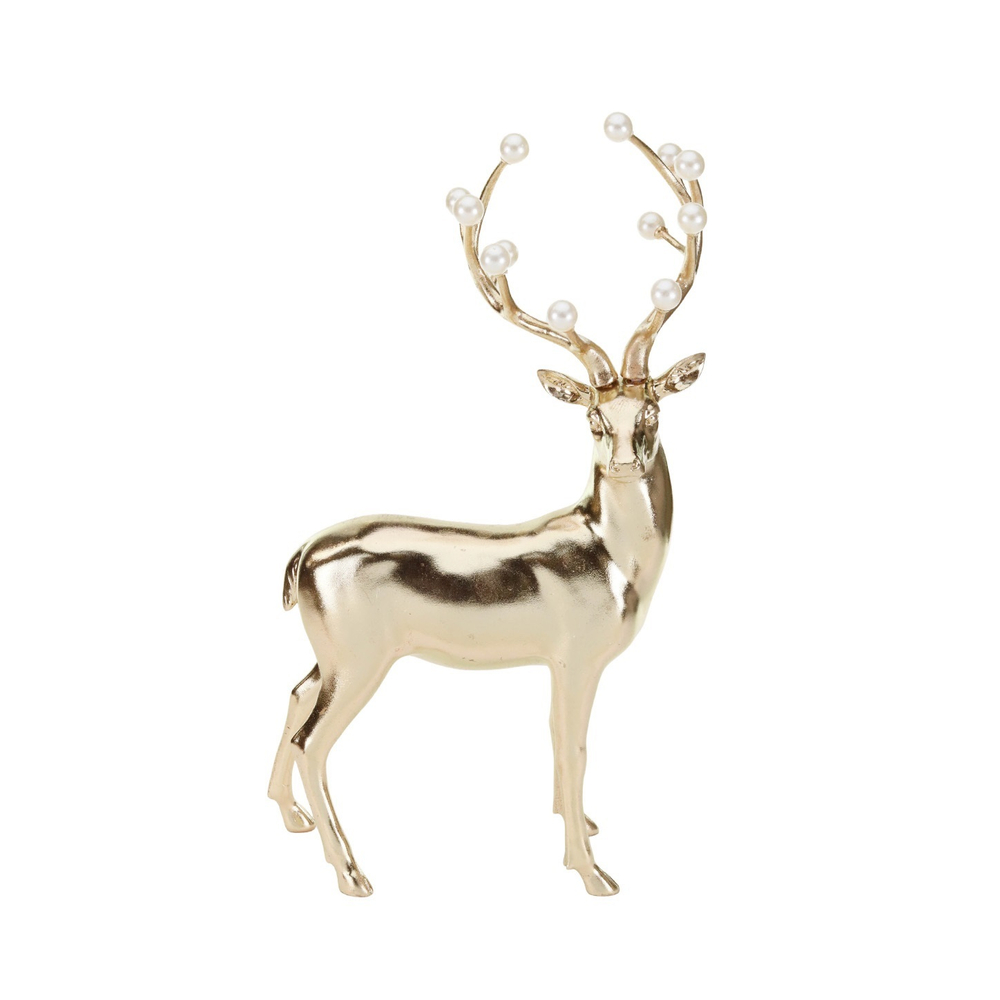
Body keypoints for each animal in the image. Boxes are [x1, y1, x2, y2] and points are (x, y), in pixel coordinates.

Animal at [268, 113, 708, 897]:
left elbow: (564, 748)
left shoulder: (557, 662)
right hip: (363, 656)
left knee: (291, 697)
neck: (614, 557)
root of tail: (301, 557)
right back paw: (352, 874)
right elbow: (574, 746)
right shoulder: (575, 657)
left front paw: (586, 832)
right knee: (313, 737)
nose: (625, 460)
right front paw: (593, 873)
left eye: (652, 409)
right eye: (593, 419)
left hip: (330, 652)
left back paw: (290, 821)